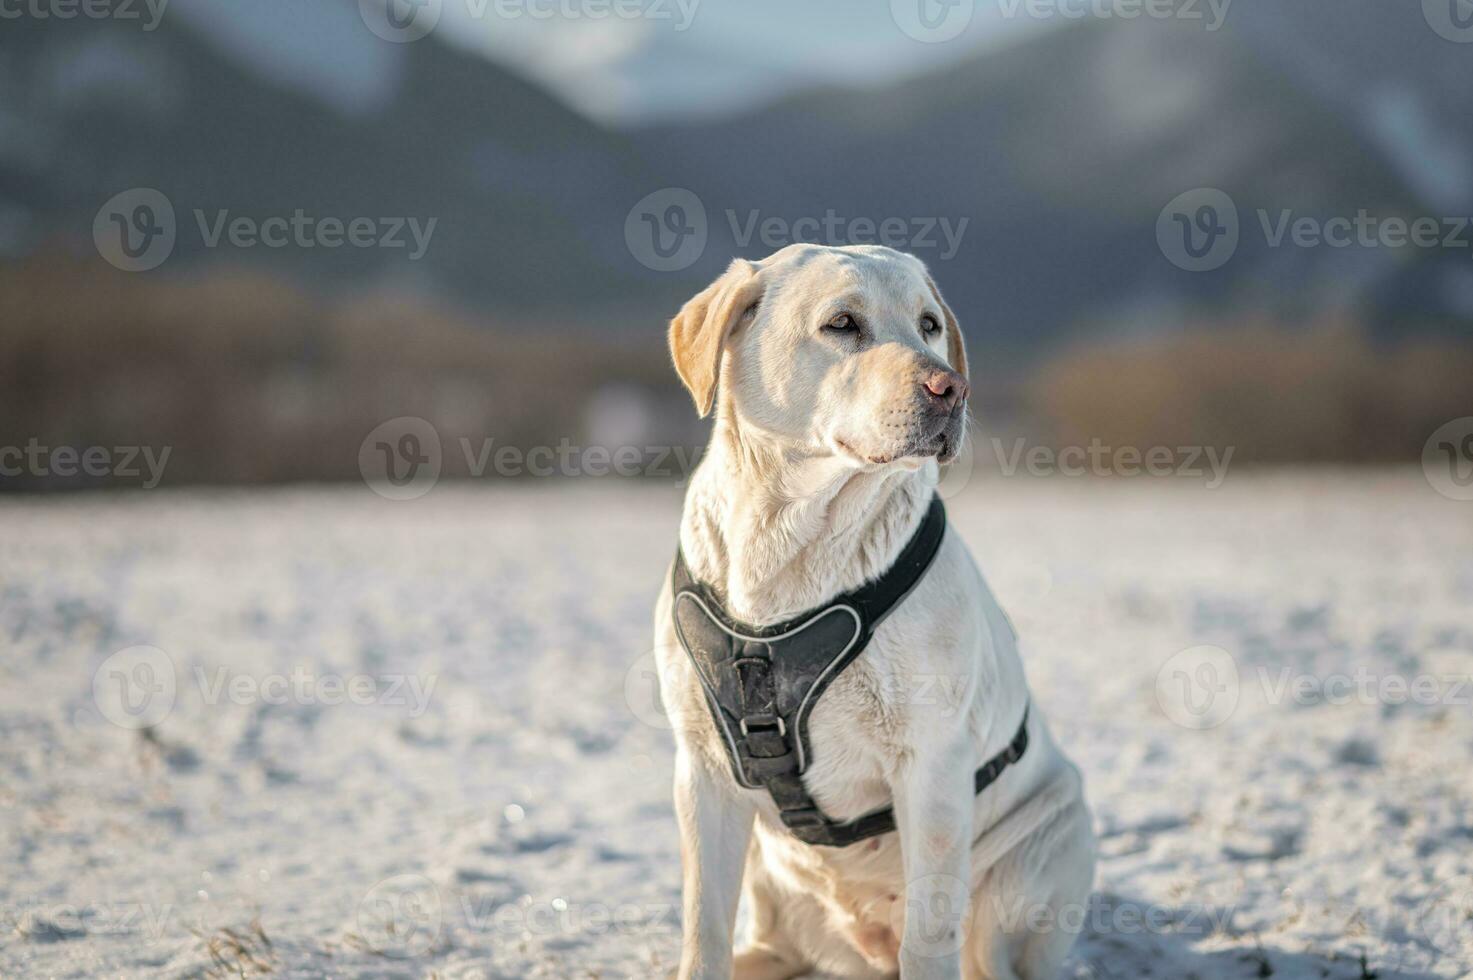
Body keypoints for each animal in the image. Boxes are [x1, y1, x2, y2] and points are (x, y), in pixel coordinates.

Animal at [656, 244, 1095, 978]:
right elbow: (702, 931)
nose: (953, 389)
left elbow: (929, 934)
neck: (791, 544)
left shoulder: (932, 759)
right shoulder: (703, 769)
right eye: (841, 323)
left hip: (1041, 846)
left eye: (928, 325)